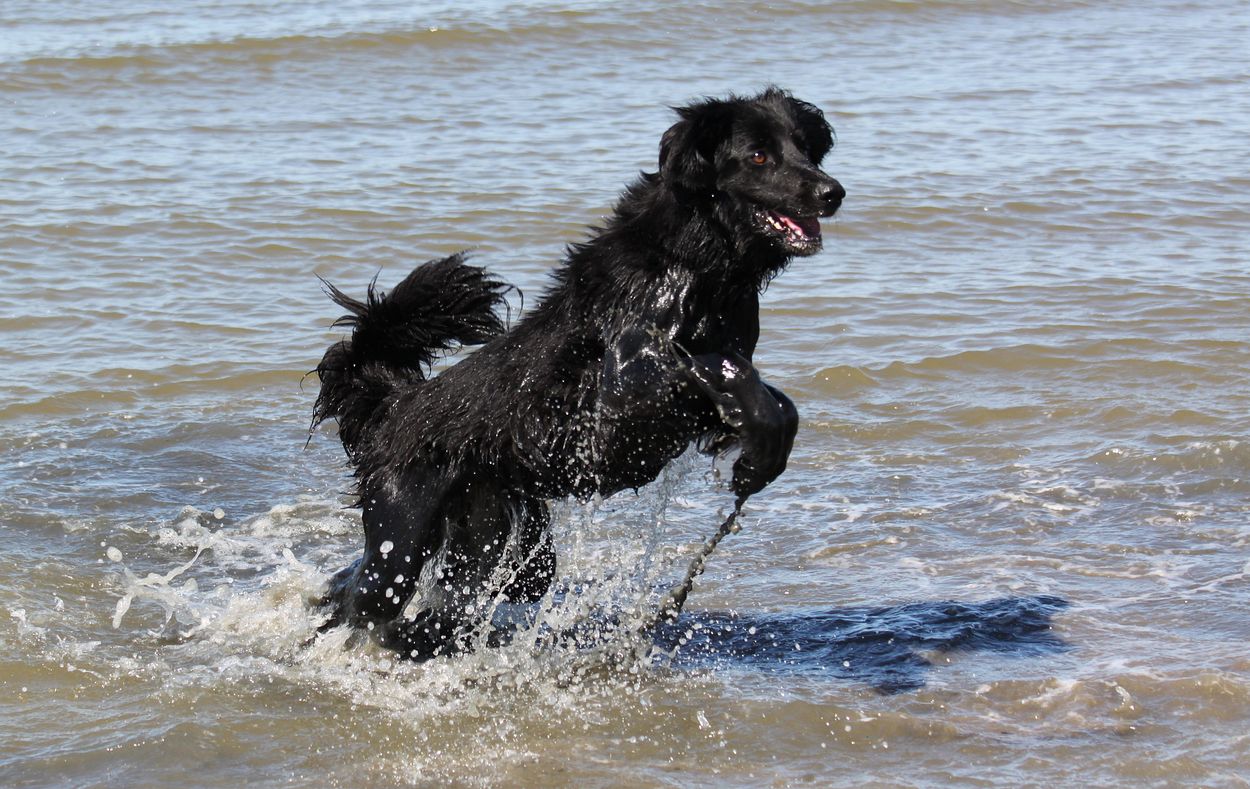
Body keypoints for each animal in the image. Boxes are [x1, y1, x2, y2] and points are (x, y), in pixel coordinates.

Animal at [311, 87, 843, 658]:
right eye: (759, 157)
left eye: (806, 149)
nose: (832, 193)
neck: (695, 263)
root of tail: (393, 405)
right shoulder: (623, 389)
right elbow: (725, 371)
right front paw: (762, 437)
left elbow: (772, 396)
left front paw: (763, 455)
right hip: (401, 534)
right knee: (361, 599)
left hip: (504, 542)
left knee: (447, 602)